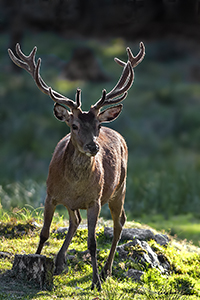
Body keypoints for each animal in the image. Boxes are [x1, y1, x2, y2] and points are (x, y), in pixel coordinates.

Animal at [8, 42, 145, 290]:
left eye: (97, 125)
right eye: (74, 125)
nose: (93, 146)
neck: (73, 185)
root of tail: (118, 134)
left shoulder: (95, 201)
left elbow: (92, 243)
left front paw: (96, 282)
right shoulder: (50, 194)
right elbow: (44, 233)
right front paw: (36, 259)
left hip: (120, 187)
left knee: (119, 222)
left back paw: (107, 270)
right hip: (77, 202)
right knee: (75, 220)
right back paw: (60, 262)